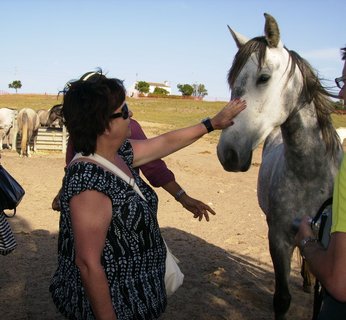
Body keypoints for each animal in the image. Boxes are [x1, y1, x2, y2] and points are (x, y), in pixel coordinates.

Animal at [216, 13, 344, 320]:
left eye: (263, 77)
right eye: (232, 80)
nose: (227, 154)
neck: (310, 176)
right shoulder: (278, 239)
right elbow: (282, 298)